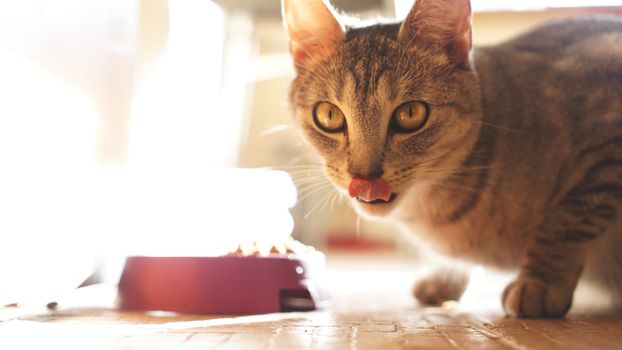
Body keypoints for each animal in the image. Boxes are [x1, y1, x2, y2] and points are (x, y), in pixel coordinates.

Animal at [282, 0, 622, 318]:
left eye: (410, 114)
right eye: (328, 115)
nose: (364, 179)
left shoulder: (604, 142)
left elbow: (566, 220)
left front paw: (540, 281)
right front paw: (445, 278)